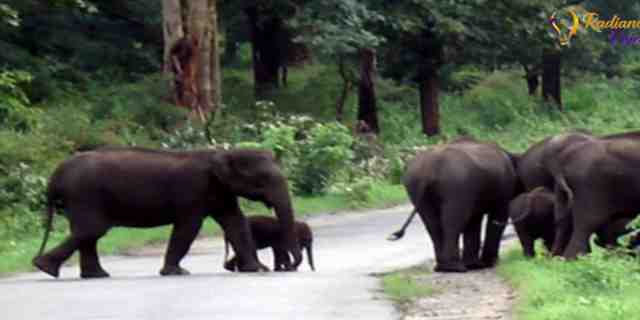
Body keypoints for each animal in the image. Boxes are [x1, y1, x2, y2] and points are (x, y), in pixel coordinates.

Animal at [33, 147, 304, 278]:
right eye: (263, 180)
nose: (290, 267)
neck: (222, 152)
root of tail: (54, 177)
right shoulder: (194, 189)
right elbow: (189, 226)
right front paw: (176, 273)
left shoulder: (220, 191)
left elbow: (235, 222)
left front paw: (256, 270)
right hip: (85, 196)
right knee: (92, 230)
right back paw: (45, 268)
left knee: (88, 234)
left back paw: (94, 275)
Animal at [402, 136, 524, 272]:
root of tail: (431, 168)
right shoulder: (504, 187)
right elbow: (498, 216)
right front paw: (489, 263)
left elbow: (474, 220)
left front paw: (475, 265)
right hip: (456, 184)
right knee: (453, 222)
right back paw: (455, 267)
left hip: (416, 186)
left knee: (432, 224)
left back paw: (442, 267)